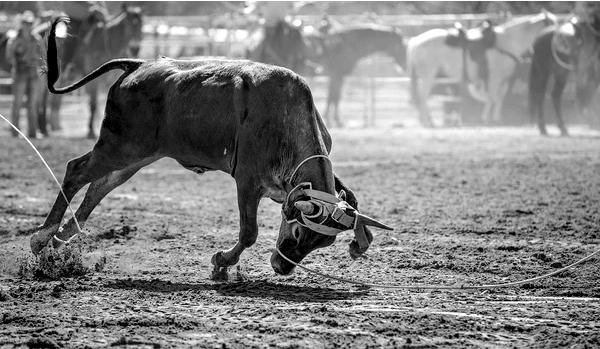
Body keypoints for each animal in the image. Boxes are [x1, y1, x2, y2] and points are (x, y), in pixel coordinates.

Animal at [47, 6, 143, 138]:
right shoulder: (93, 81)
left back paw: (56, 125)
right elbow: (93, 103)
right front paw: (91, 130)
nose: (135, 48)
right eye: (127, 24)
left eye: (141, 25)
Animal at [408, 9, 556, 126]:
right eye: (554, 25)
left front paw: (493, 118)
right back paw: (427, 121)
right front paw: (490, 119)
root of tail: (416, 41)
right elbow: (493, 97)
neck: (508, 41)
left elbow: (498, 97)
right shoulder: (494, 78)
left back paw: (428, 120)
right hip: (428, 75)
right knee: (423, 95)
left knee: (423, 96)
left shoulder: (503, 79)